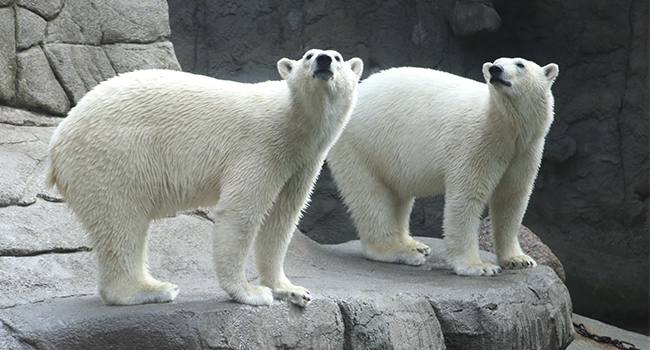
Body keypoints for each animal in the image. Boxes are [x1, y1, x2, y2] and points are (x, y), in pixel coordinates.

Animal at [47, 48, 364, 306]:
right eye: (309, 55)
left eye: (337, 57)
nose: (323, 61)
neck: (293, 121)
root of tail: (57, 142)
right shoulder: (261, 146)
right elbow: (241, 212)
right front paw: (251, 292)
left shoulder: (302, 162)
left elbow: (282, 218)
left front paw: (293, 291)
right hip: (111, 157)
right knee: (121, 221)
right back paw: (152, 290)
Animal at [330, 57, 556, 276]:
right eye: (495, 62)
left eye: (520, 64)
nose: (495, 70)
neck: (505, 126)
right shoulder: (476, 143)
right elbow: (467, 197)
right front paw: (479, 266)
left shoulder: (525, 151)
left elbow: (512, 198)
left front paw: (519, 259)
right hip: (362, 144)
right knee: (370, 196)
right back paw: (399, 252)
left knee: (398, 194)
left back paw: (414, 244)